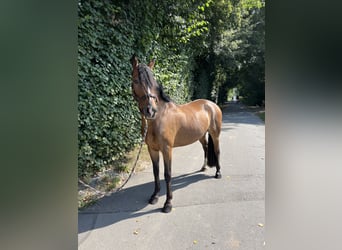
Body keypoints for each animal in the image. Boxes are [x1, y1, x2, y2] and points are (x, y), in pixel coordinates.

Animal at [130, 55, 222, 213]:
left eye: (153, 82)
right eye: (136, 80)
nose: (150, 110)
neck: (158, 118)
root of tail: (211, 104)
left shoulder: (167, 149)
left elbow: (167, 174)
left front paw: (168, 203)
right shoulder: (152, 149)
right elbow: (156, 172)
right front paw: (154, 196)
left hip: (215, 135)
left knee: (217, 151)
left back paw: (218, 173)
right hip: (201, 136)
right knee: (205, 148)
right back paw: (203, 167)